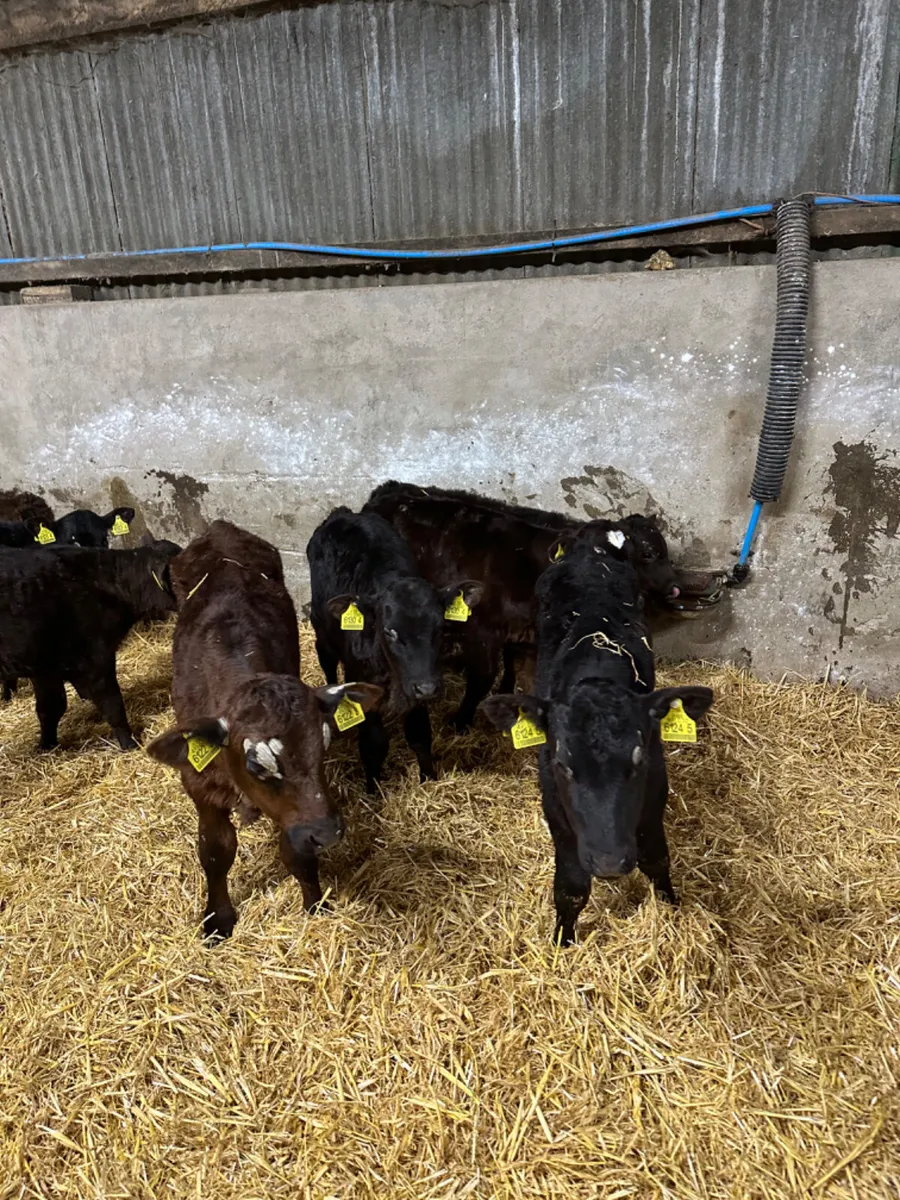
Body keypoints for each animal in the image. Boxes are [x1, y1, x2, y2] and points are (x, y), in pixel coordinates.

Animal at [0, 540, 180, 750]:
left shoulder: (45, 668)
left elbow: (50, 708)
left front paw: (47, 746)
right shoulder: (94, 661)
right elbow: (113, 706)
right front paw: (130, 744)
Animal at [146, 520, 382, 940]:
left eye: (323, 749)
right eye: (258, 766)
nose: (327, 833)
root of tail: (220, 529)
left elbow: (296, 849)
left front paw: (315, 901)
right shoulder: (199, 783)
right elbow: (215, 850)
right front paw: (218, 918)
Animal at [307, 507, 482, 792]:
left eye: (441, 627)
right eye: (390, 631)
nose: (428, 688)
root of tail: (343, 514)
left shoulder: (415, 685)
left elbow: (420, 734)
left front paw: (428, 778)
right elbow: (373, 743)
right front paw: (373, 789)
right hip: (321, 626)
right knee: (327, 659)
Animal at [364, 481, 683, 730]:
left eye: (631, 556)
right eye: (648, 554)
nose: (675, 587)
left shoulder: (529, 637)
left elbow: (519, 671)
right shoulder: (482, 628)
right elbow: (483, 678)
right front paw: (461, 721)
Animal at [481, 537, 713, 945]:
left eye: (638, 761)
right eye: (563, 764)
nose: (608, 862)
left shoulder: (655, 792)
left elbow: (656, 858)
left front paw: (671, 908)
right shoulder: (554, 807)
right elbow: (571, 886)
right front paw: (563, 940)